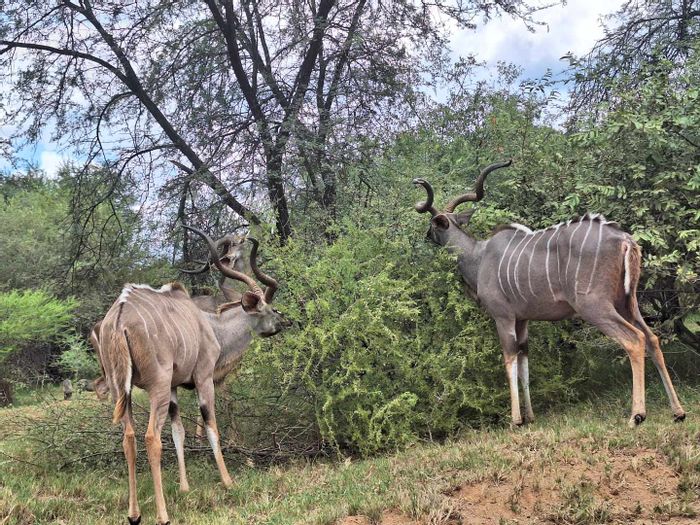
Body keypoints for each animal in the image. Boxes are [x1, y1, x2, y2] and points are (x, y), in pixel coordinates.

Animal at [97, 227, 286, 525]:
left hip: (121, 390)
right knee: (150, 437)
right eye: (270, 309)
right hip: (157, 386)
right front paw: (228, 481)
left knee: (128, 438)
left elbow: (178, 432)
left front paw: (185, 487)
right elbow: (211, 427)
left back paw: (134, 514)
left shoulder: (175, 388)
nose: (285, 322)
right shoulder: (204, 378)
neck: (212, 326)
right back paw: (163, 515)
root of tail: (119, 318)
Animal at [413, 160, 686, 428]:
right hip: (628, 303)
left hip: (595, 307)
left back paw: (636, 416)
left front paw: (516, 421)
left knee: (634, 340)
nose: (425, 236)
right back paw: (678, 412)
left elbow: (510, 360)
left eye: (432, 224)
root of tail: (625, 239)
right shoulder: (522, 320)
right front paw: (530, 417)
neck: (478, 257)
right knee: (652, 339)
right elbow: (524, 362)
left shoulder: (503, 317)